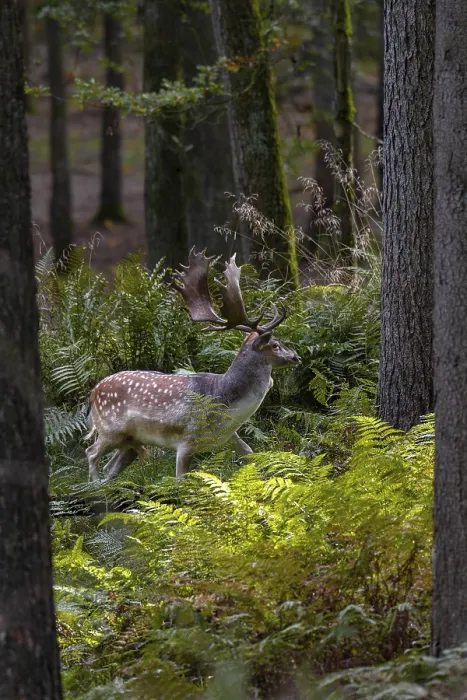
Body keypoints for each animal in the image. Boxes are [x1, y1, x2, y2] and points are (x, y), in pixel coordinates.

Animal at [85, 248, 300, 482]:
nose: (296, 356)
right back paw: (93, 484)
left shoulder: (228, 436)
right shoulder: (186, 439)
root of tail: (92, 394)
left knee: (111, 467)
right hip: (110, 430)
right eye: (275, 345)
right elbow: (180, 479)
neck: (225, 403)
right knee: (91, 453)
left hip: (130, 441)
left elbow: (251, 453)